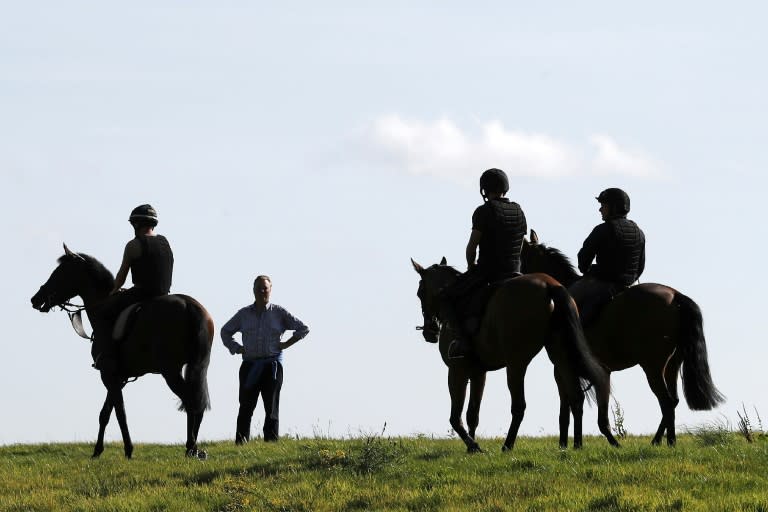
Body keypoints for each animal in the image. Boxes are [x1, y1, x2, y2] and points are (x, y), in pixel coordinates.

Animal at [30, 244, 213, 460]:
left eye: (60, 273)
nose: (35, 299)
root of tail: (189, 305)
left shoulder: (108, 373)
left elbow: (119, 412)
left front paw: (128, 449)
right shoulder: (117, 377)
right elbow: (105, 412)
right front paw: (97, 450)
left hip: (170, 371)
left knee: (190, 400)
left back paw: (191, 446)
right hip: (198, 366)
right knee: (197, 401)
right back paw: (195, 449)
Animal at [412, 258, 620, 450]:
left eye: (420, 293)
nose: (429, 332)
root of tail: (549, 284)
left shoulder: (457, 371)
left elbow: (455, 417)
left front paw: (473, 445)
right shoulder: (479, 373)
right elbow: (473, 414)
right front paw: (471, 446)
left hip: (516, 363)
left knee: (519, 406)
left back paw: (508, 445)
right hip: (560, 357)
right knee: (575, 396)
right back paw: (577, 444)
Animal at [520, 230, 724, 446]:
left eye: (522, 257)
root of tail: (676, 296)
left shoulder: (561, 368)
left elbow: (570, 409)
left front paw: (571, 445)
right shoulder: (593, 371)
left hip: (653, 366)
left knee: (667, 402)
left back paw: (665, 442)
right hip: (672, 365)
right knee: (673, 401)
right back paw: (663, 441)